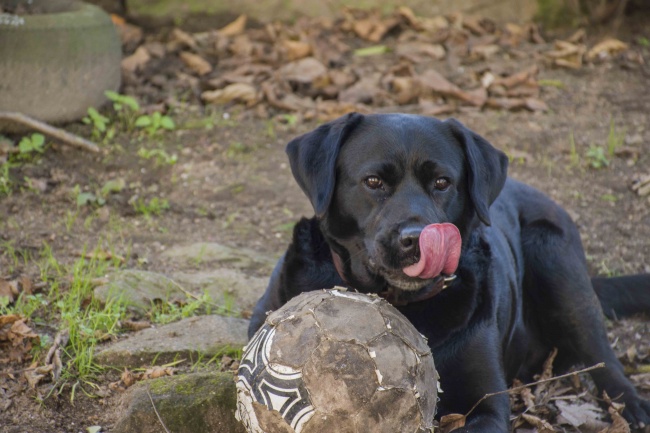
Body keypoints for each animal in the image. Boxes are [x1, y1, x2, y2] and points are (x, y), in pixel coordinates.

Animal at [247, 113, 648, 430]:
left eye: (442, 182)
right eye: (373, 181)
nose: (416, 239)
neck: (403, 304)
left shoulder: (487, 403)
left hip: (555, 259)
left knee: (600, 354)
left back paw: (632, 404)